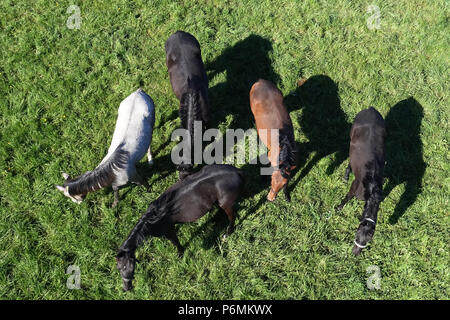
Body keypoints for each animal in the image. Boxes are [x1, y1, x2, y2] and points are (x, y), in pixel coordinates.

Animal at [115, 164, 243, 292]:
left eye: (126, 267)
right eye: (119, 268)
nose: (126, 288)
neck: (153, 219)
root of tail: (237, 171)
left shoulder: (169, 230)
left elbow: (176, 243)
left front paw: (180, 255)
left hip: (226, 205)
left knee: (232, 217)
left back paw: (227, 233)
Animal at [338, 107, 386, 255]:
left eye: (368, 240)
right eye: (357, 234)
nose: (355, 253)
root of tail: (371, 109)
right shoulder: (354, 187)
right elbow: (346, 198)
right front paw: (338, 208)